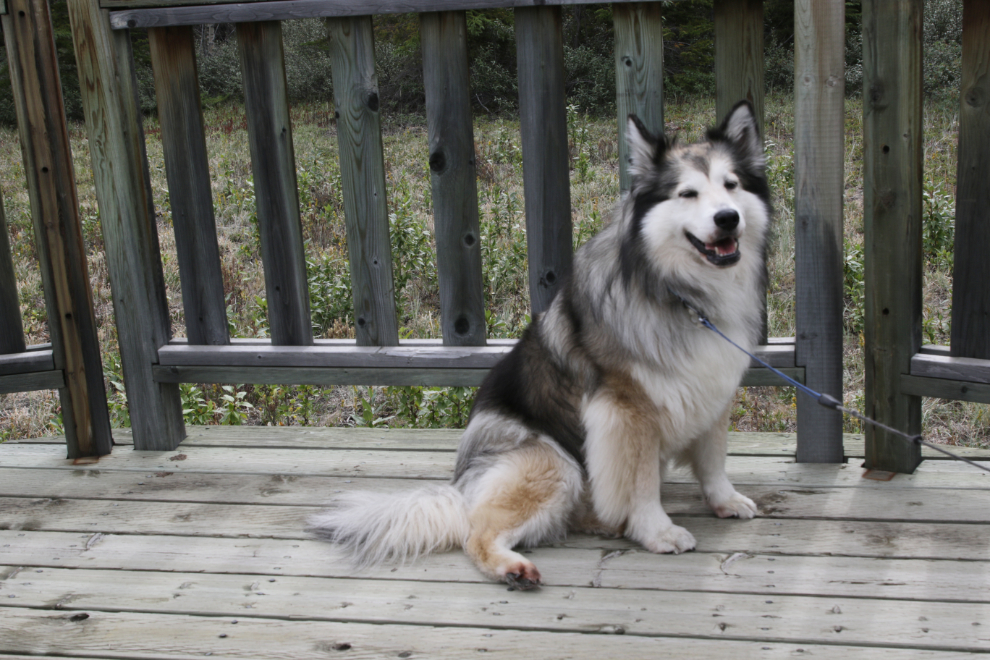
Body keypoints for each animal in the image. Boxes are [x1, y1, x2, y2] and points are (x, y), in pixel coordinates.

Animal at [308, 100, 768, 592]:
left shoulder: (712, 387)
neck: (679, 293)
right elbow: (641, 482)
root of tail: (460, 489)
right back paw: (514, 567)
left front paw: (725, 500)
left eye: (731, 185)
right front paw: (657, 530)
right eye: (687, 194)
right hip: (553, 463)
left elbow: (713, 459)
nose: (727, 218)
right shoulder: (626, 412)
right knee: (475, 533)